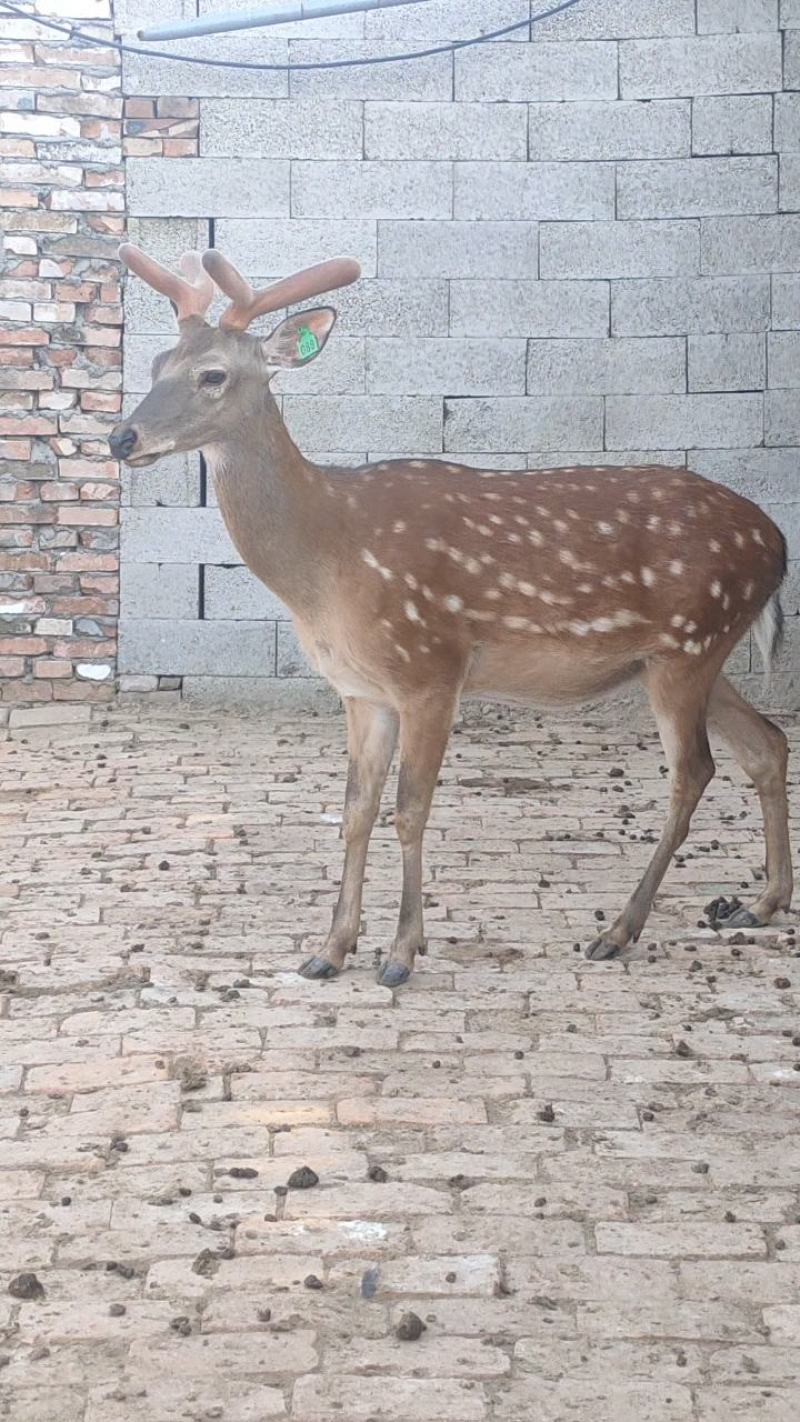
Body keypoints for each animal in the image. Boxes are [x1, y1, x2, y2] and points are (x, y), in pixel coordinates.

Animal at [111, 243, 793, 987]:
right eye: (155, 364)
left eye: (213, 374)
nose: (122, 437)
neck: (328, 562)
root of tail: (777, 543)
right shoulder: (361, 689)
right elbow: (355, 810)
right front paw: (329, 950)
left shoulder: (431, 666)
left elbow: (411, 810)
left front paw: (401, 954)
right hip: (690, 654)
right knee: (767, 743)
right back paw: (760, 902)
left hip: (689, 644)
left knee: (694, 772)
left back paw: (619, 930)